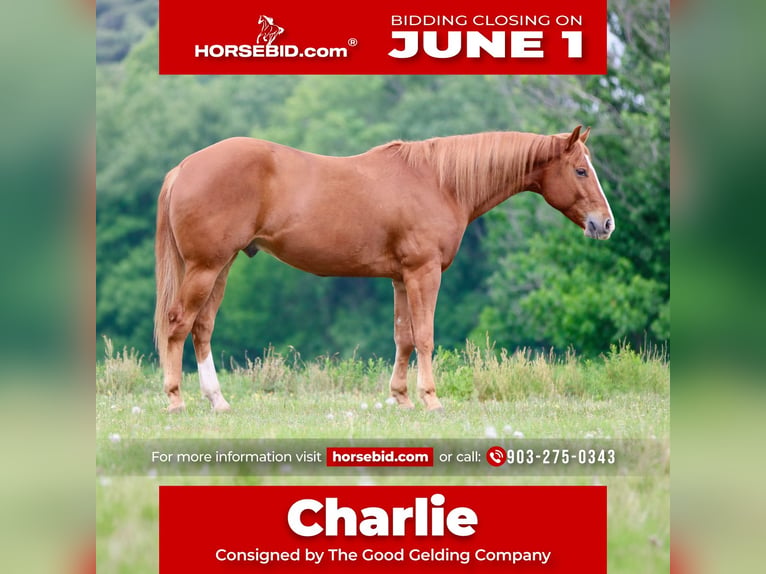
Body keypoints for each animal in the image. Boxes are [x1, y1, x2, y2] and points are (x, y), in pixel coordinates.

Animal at [154, 126, 614, 413]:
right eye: (580, 169)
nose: (605, 224)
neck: (441, 182)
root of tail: (184, 167)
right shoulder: (425, 273)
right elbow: (425, 337)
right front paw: (431, 399)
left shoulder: (401, 278)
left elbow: (404, 337)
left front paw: (401, 398)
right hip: (205, 268)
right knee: (178, 324)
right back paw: (175, 399)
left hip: (221, 267)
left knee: (202, 328)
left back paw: (217, 400)